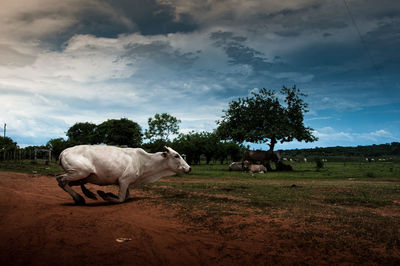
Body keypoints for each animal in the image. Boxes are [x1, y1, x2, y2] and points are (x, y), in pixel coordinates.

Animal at [56, 144, 192, 205]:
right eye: (176, 155)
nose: (189, 168)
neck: (144, 162)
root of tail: (64, 152)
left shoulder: (127, 183)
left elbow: (127, 196)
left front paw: (105, 194)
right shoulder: (123, 180)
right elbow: (121, 198)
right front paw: (105, 195)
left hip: (82, 176)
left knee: (69, 183)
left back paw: (85, 195)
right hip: (81, 172)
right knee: (61, 179)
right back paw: (79, 198)